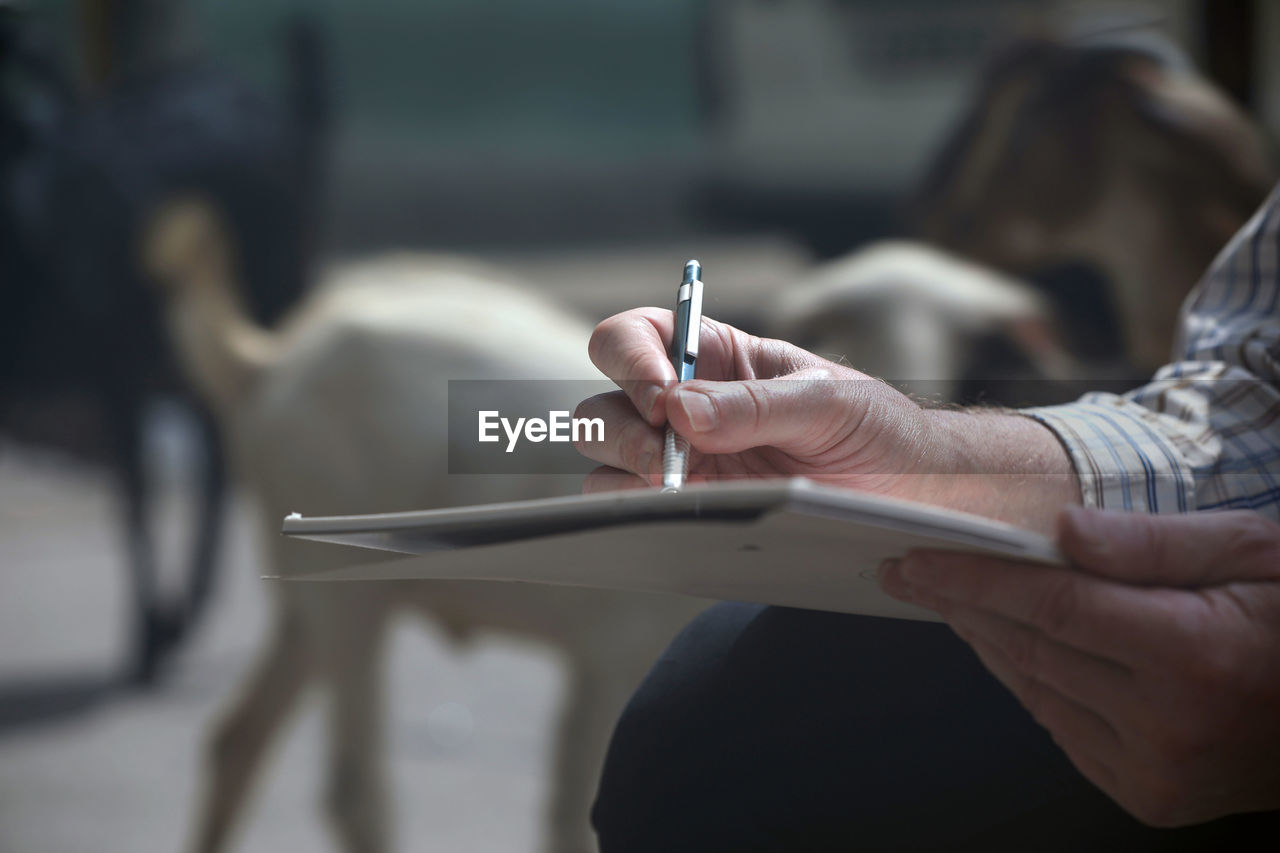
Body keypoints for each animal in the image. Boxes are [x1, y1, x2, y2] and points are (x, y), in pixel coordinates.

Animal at [145, 201, 706, 850]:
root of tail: (272, 360)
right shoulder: (614, 656)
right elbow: (577, 810)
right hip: (344, 588)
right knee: (352, 788)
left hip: (306, 601)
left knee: (236, 737)